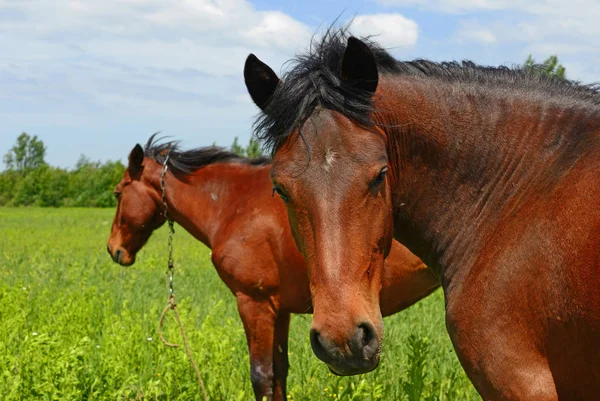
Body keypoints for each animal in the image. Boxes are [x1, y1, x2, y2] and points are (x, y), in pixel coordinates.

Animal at [105, 135, 438, 400]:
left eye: (118, 192)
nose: (114, 249)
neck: (233, 205)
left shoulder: (255, 305)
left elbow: (262, 376)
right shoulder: (280, 311)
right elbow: (279, 373)